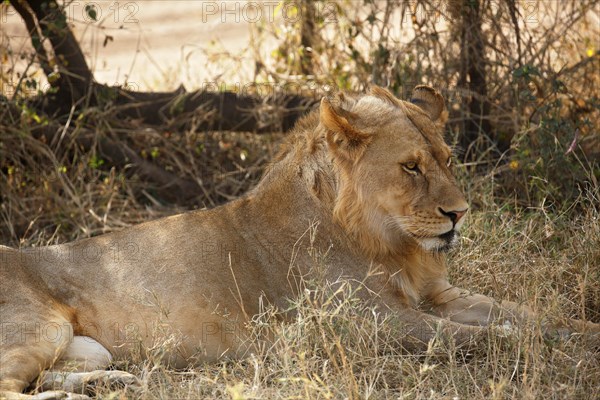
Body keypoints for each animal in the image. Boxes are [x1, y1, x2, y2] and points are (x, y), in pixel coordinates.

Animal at [1, 86, 600, 398]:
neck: (389, 243)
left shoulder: (438, 296)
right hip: (40, 326)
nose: (459, 214)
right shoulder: (371, 323)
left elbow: (528, 314)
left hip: (87, 346)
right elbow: (483, 338)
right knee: (13, 388)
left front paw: (580, 333)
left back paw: (111, 381)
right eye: (411, 167)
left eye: (448, 160)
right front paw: (539, 347)